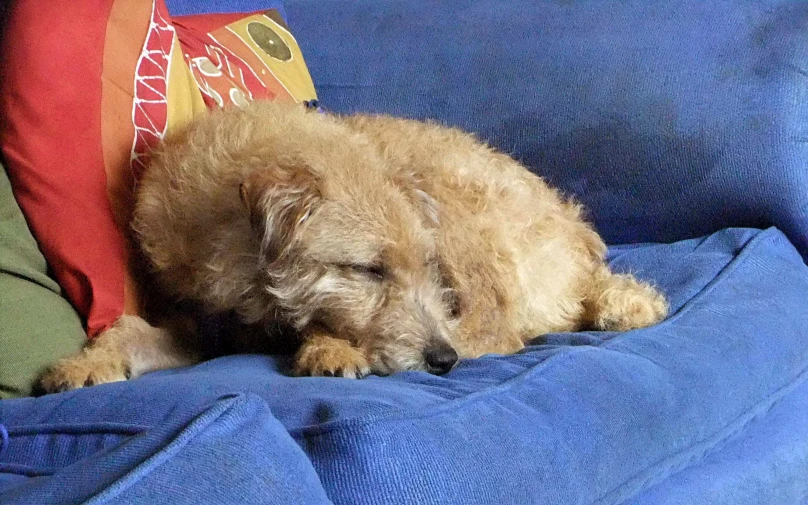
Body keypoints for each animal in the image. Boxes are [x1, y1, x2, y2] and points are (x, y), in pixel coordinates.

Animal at [38, 98, 664, 390]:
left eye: (431, 273)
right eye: (370, 271)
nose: (441, 360)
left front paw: (331, 349)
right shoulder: (198, 328)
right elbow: (130, 331)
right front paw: (85, 364)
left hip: (460, 208)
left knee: (499, 333)